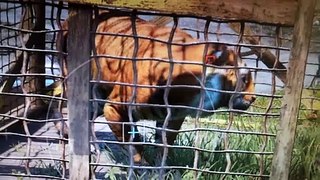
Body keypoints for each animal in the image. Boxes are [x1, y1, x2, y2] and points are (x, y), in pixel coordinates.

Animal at [56, 12, 256, 165]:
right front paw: (142, 167)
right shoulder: (114, 108)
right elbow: (133, 142)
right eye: (245, 79)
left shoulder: (173, 117)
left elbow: (165, 143)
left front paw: (163, 166)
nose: (253, 98)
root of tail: (66, 21)